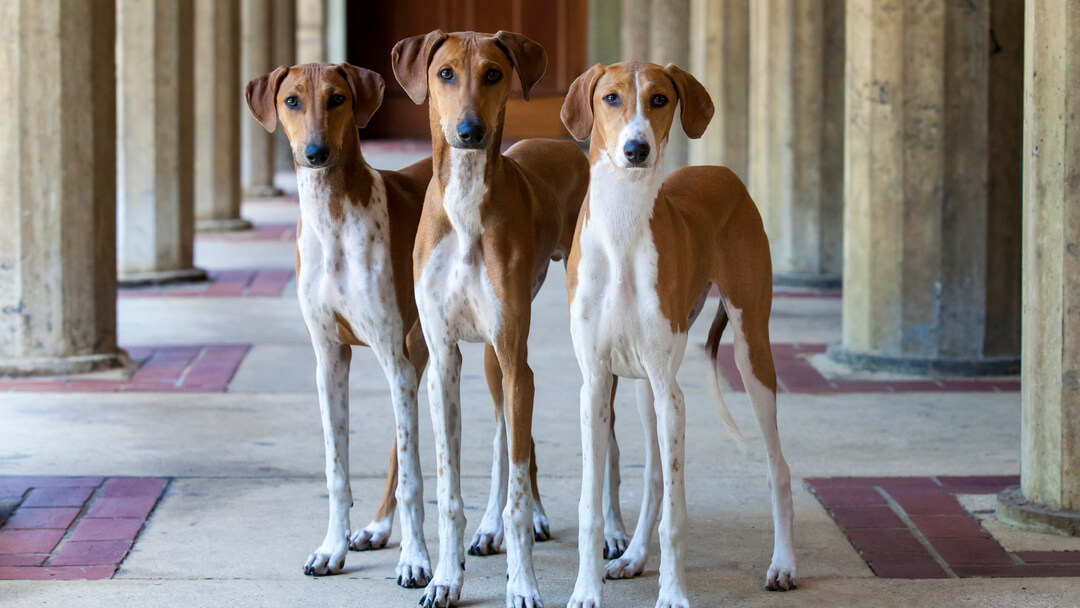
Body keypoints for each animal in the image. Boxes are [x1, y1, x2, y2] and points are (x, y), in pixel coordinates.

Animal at [390, 32, 591, 608]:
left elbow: (519, 493)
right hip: (490, 361)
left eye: (494, 73)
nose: (469, 132)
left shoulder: (517, 363)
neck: (464, 203)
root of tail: (562, 144)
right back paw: (487, 529)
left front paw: (522, 583)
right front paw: (444, 578)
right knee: (504, 441)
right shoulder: (443, 361)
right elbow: (451, 486)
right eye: (446, 73)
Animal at [561, 61, 799, 608]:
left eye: (660, 99)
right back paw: (632, 557)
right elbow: (591, 507)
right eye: (610, 98)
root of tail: (723, 172)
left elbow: (676, 515)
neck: (623, 229)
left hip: (751, 352)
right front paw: (586, 590)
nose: (636, 149)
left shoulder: (674, 398)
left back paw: (783, 564)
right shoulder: (595, 385)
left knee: (778, 468)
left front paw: (672, 594)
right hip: (644, 387)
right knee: (652, 477)